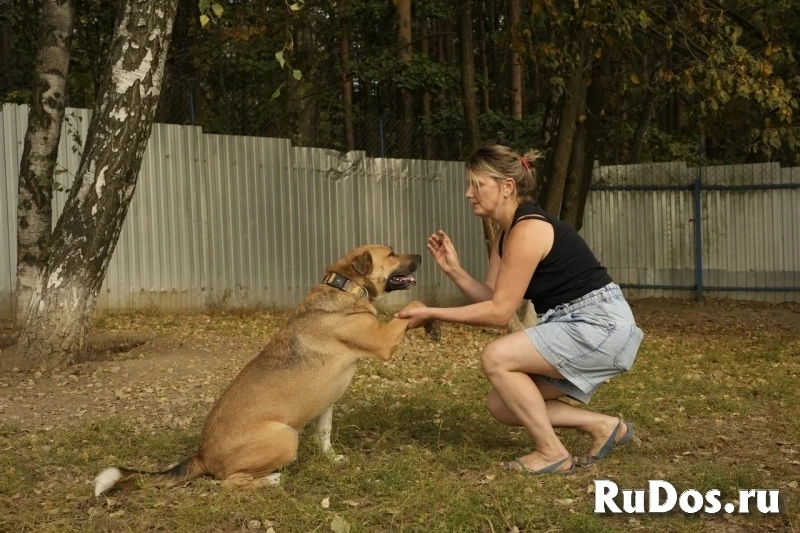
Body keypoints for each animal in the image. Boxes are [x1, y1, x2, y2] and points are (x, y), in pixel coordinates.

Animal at [95, 245, 424, 494]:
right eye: (392, 253)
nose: (421, 256)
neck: (346, 286)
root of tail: (202, 456)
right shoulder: (383, 341)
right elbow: (411, 307)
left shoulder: (326, 405)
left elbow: (325, 436)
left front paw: (332, 459)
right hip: (286, 437)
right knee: (229, 483)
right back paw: (272, 480)